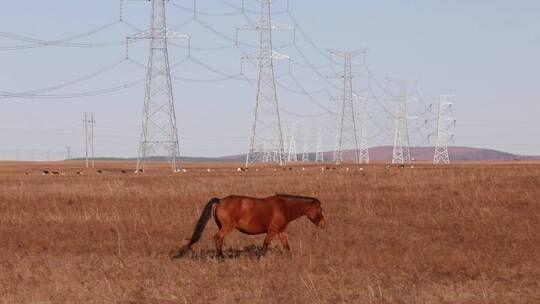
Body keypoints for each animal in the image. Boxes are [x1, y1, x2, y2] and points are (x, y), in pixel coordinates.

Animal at [172, 194, 324, 258]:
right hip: (227, 227)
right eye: (320, 209)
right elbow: (265, 245)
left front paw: (292, 259)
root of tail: (220, 201)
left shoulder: (280, 231)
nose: (323, 224)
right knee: (217, 237)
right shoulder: (272, 230)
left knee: (219, 239)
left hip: (221, 226)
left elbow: (287, 246)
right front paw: (259, 259)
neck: (284, 207)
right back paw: (221, 258)